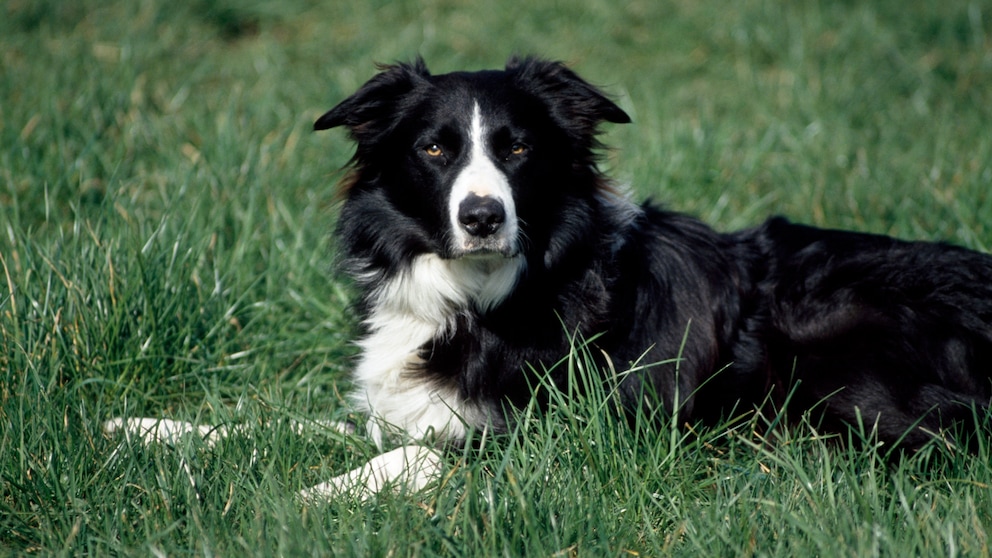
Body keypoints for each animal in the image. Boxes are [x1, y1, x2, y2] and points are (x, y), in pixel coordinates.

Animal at [108, 57, 992, 504]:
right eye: (435, 148)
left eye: (518, 149)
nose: (481, 216)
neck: (482, 291)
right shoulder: (408, 408)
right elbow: (279, 424)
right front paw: (147, 430)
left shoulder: (557, 436)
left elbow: (411, 459)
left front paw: (296, 502)